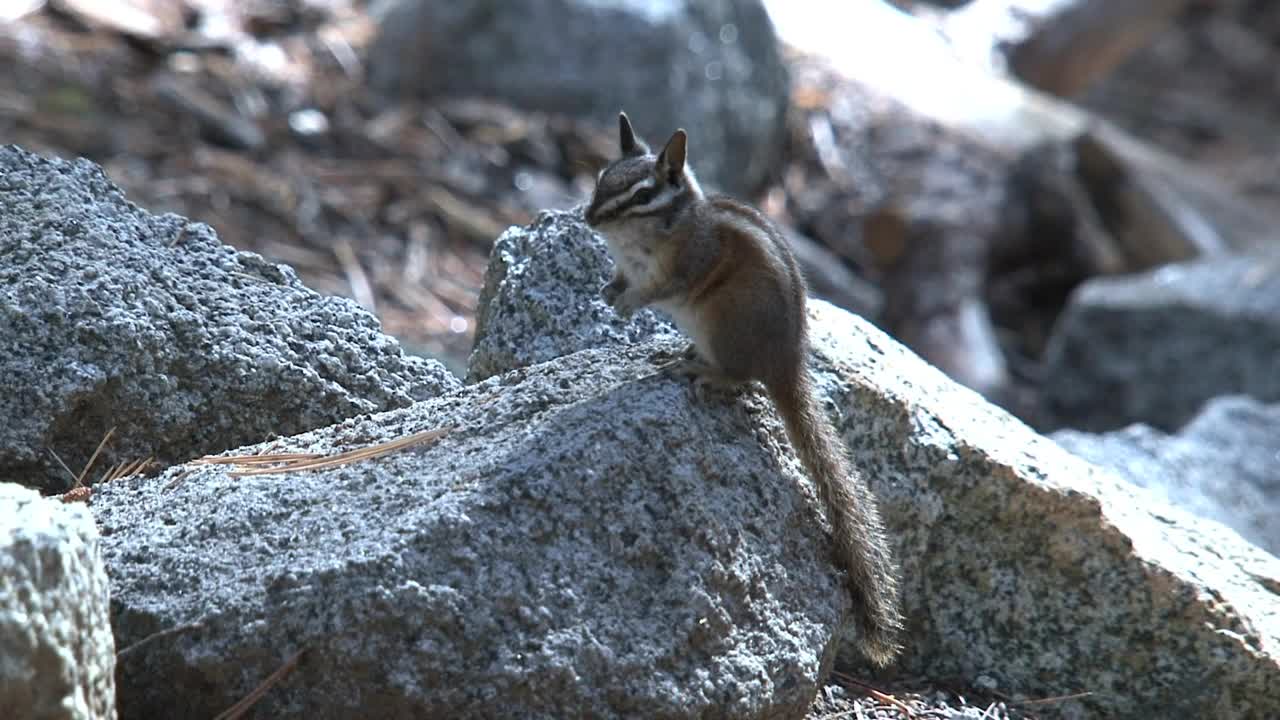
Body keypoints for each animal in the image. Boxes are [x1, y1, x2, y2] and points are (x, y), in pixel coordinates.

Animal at [585, 112, 904, 666]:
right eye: (604, 177)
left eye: (643, 195)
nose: (587, 219)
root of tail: (787, 365)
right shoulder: (628, 263)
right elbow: (621, 277)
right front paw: (609, 290)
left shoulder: (685, 265)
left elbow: (657, 289)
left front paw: (627, 304)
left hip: (723, 320)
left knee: (743, 378)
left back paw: (703, 371)